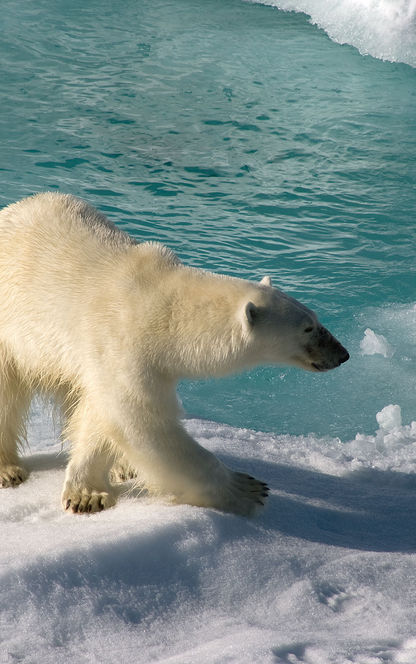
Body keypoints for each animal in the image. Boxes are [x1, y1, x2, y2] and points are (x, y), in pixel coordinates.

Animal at [0, 195, 348, 516]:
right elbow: (142, 421)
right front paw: (247, 489)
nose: (342, 354)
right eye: (307, 328)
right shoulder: (122, 341)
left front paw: (91, 489)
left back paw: (124, 466)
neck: (160, 304)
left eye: (316, 318)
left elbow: (101, 415)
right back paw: (8, 470)